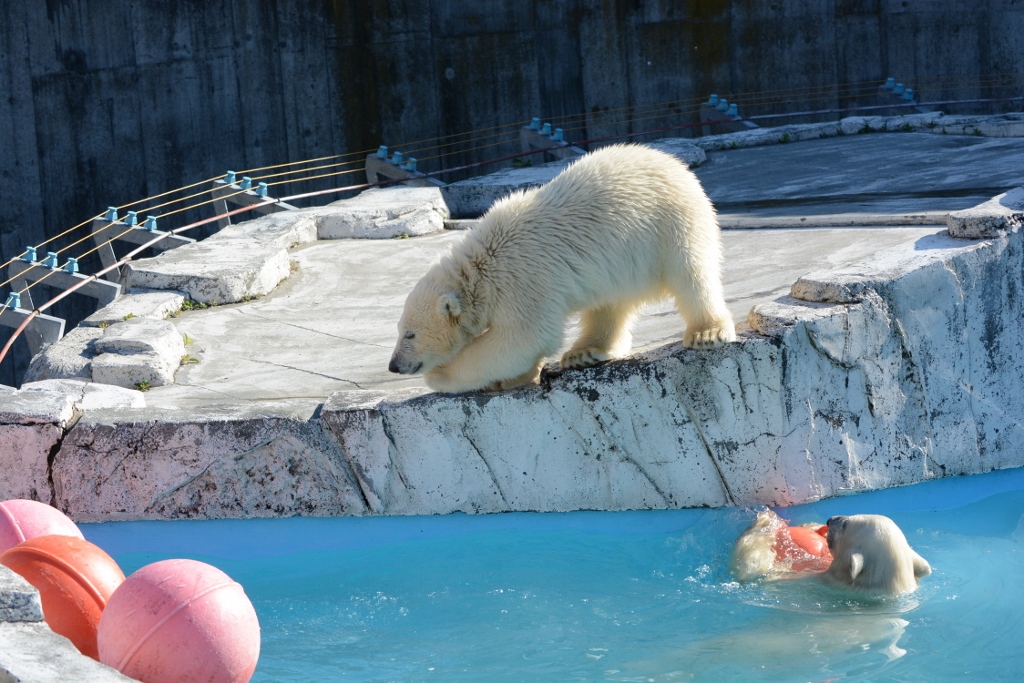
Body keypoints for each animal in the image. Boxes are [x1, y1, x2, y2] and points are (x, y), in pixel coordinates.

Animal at [387, 141, 733, 393]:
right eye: (401, 330)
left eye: (410, 335)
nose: (393, 366)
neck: (480, 266)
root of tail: (671, 162)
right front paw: (511, 379)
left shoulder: (521, 282)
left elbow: (522, 338)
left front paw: (441, 375)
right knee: (609, 302)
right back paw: (585, 352)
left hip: (671, 223)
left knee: (692, 273)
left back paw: (707, 332)